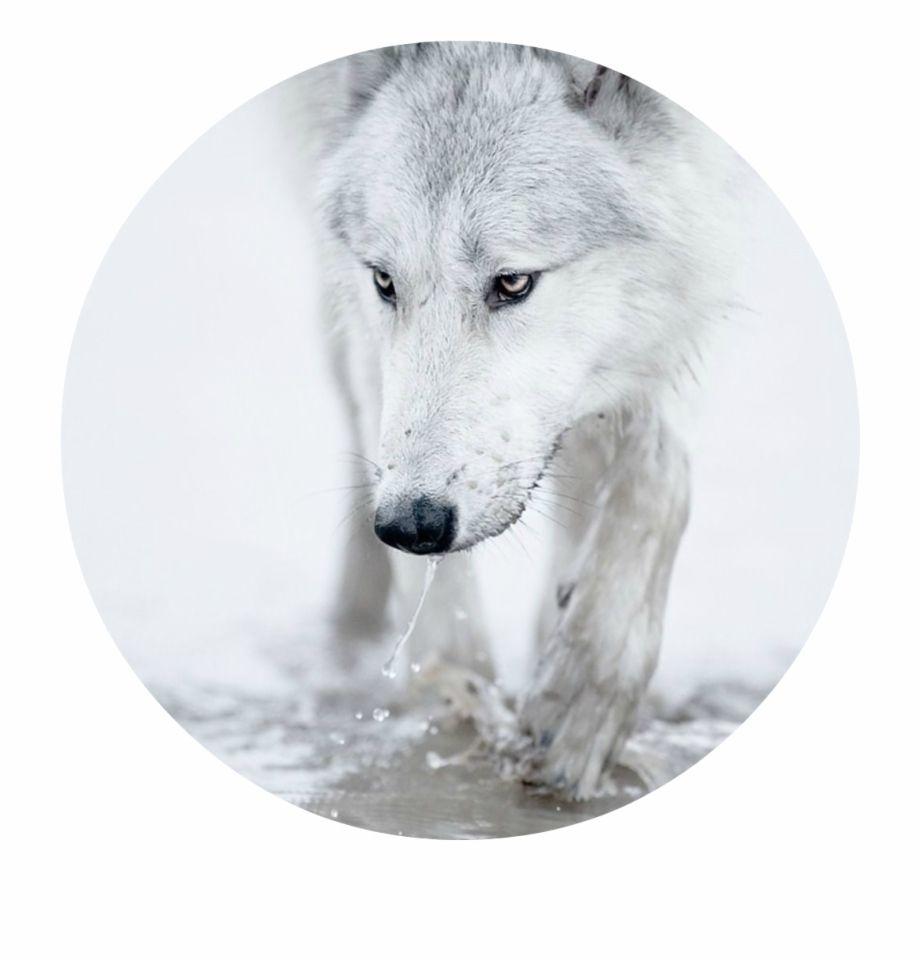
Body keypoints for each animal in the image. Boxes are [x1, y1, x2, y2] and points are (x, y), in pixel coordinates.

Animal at [312, 42, 741, 799]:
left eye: (512, 283)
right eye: (385, 282)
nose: (410, 525)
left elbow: (658, 467)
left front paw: (583, 692)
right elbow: (447, 628)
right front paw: (457, 709)